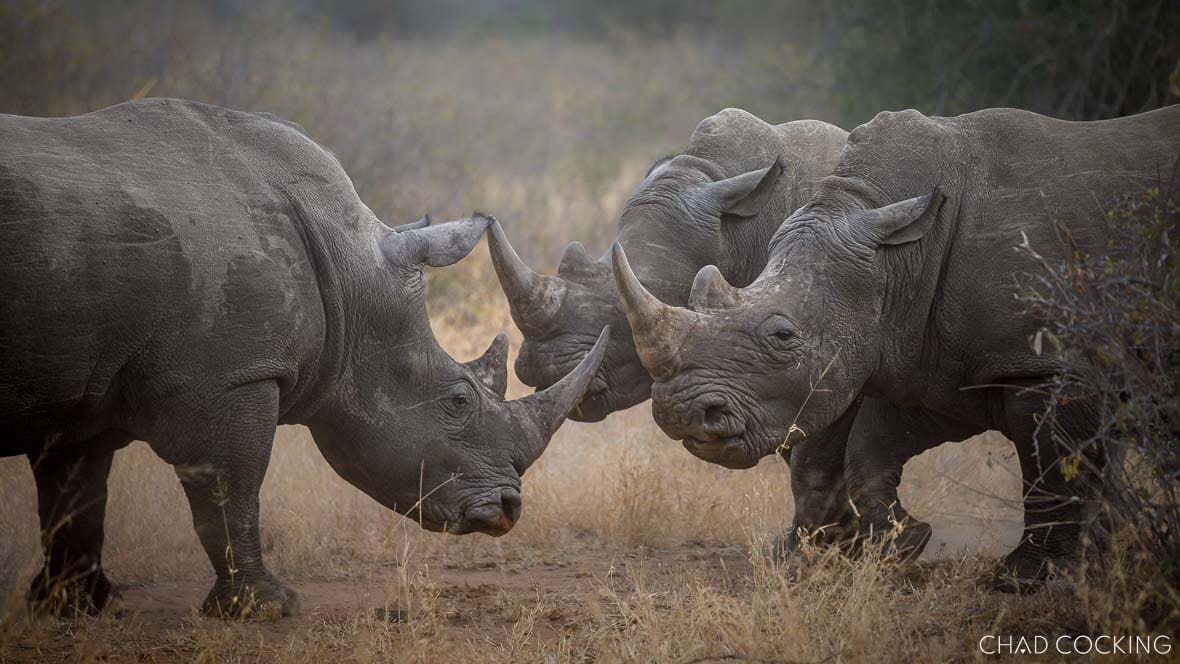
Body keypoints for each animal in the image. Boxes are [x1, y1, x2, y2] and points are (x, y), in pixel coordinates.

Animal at [0, 98, 608, 617]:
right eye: (458, 400)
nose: (507, 510)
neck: (347, 274)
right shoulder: (231, 377)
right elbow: (231, 490)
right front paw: (267, 607)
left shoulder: (82, 392)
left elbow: (75, 499)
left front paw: (77, 606)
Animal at [614, 104, 1180, 589]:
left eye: (783, 336)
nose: (682, 414)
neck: (897, 260)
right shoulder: (928, 356)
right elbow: (868, 450)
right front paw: (903, 545)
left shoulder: (1043, 365)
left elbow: (1049, 466)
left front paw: (1023, 578)